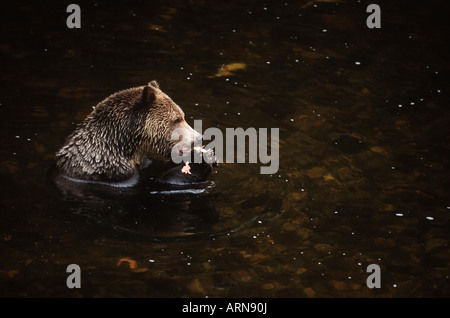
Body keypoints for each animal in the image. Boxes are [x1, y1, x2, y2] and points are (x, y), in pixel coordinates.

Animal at [55, 80, 210, 188]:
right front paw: (200, 159)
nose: (199, 137)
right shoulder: (112, 175)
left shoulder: (146, 162)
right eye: (177, 119)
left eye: (182, 116)